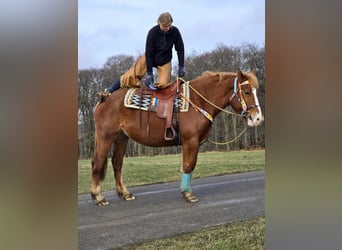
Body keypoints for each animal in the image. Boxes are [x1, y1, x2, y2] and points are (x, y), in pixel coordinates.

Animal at [90, 68, 262, 205]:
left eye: (255, 91)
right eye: (247, 92)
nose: (258, 118)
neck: (198, 101)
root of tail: (104, 98)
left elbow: (189, 166)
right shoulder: (190, 141)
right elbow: (188, 165)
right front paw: (188, 193)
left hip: (121, 137)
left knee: (117, 163)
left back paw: (125, 193)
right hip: (106, 136)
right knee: (98, 162)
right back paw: (98, 196)